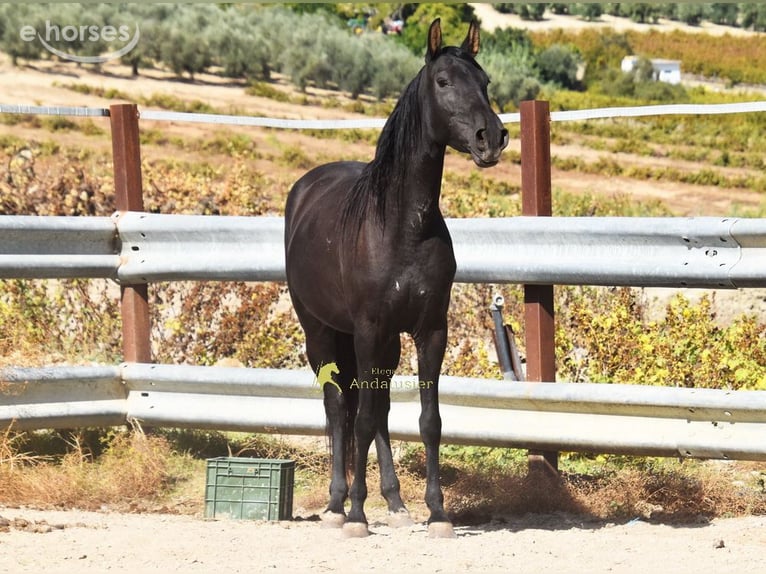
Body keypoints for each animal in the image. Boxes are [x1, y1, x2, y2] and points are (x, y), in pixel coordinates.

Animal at [284, 18, 508, 538]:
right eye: (443, 81)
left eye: (485, 81)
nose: (491, 137)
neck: (403, 226)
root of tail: (304, 189)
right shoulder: (369, 330)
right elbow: (361, 420)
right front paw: (356, 515)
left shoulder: (430, 331)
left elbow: (428, 421)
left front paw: (438, 513)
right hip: (321, 333)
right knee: (338, 409)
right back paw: (337, 505)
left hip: (382, 344)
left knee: (378, 408)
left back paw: (395, 502)